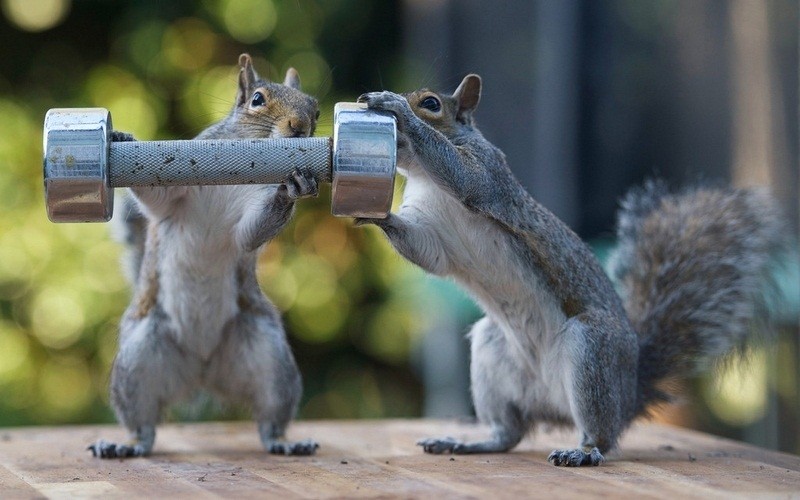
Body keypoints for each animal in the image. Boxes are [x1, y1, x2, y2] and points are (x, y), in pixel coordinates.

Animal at [89, 52, 320, 458]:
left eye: (316, 109)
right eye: (257, 99)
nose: (300, 126)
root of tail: (202, 370)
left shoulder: (246, 225)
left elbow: (251, 232)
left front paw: (292, 188)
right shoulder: (176, 195)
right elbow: (156, 196)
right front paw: (121, 138)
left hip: (269, 357)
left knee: (270, 417)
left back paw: (283, 441)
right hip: (139, 359)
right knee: (143, 424)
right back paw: (127, 444)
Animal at [360, 76, 784, 466]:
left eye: (431, 103)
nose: (392, 108)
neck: (425, 178)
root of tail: (629, 393)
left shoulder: (488, 172)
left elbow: (465, 178)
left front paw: (396, 108)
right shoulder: (434, 236)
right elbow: (426, 251)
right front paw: (372, 214)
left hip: (592, 351)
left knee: (601, 432)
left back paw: (584, 451)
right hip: (492, 352)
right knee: (509, 433)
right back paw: (470, 442)